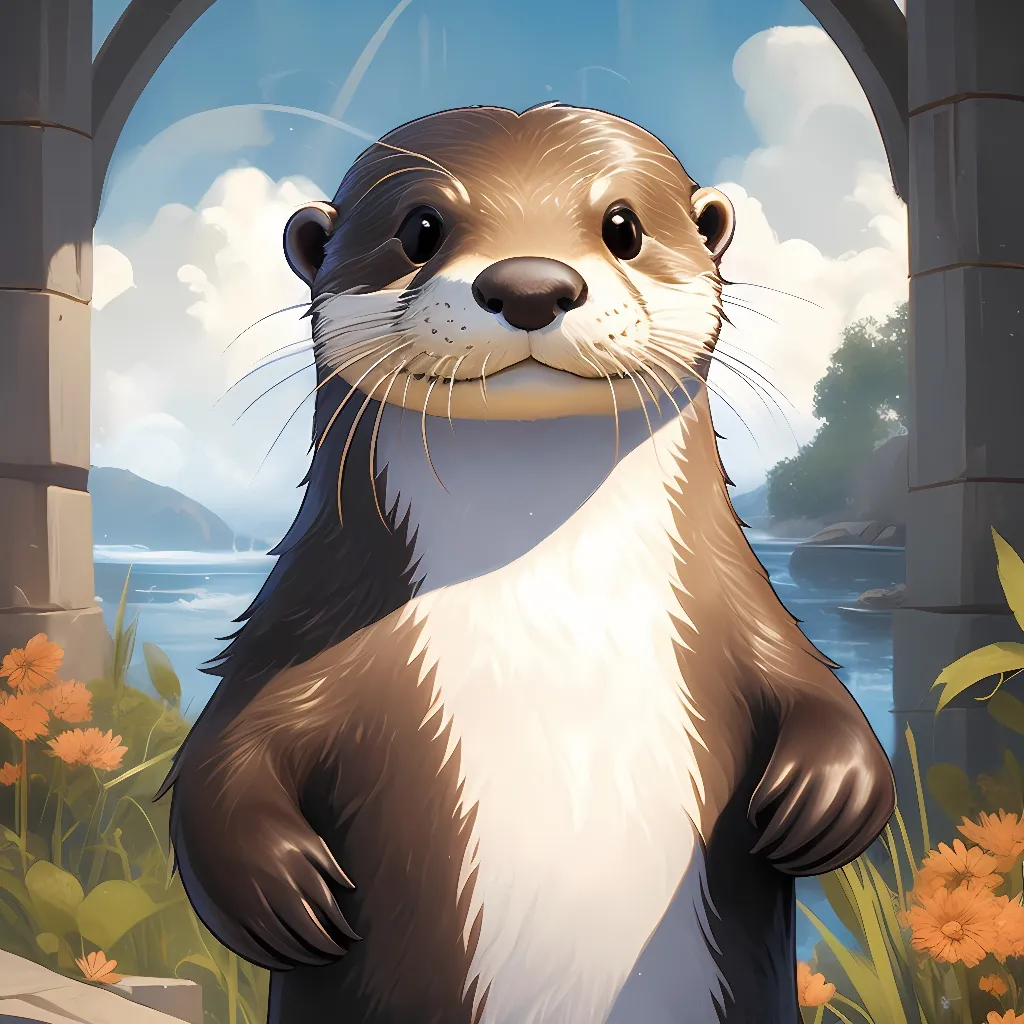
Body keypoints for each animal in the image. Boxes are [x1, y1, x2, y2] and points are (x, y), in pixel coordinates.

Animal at [160, 103, 895, 1024]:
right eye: (420, 228)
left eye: (623, 226)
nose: (532, 285)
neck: (553, 621)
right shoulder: (303, 629)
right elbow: (225, 751)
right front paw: (282, 891)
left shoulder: (741, 613)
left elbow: (816, 690)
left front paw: (824, 799)